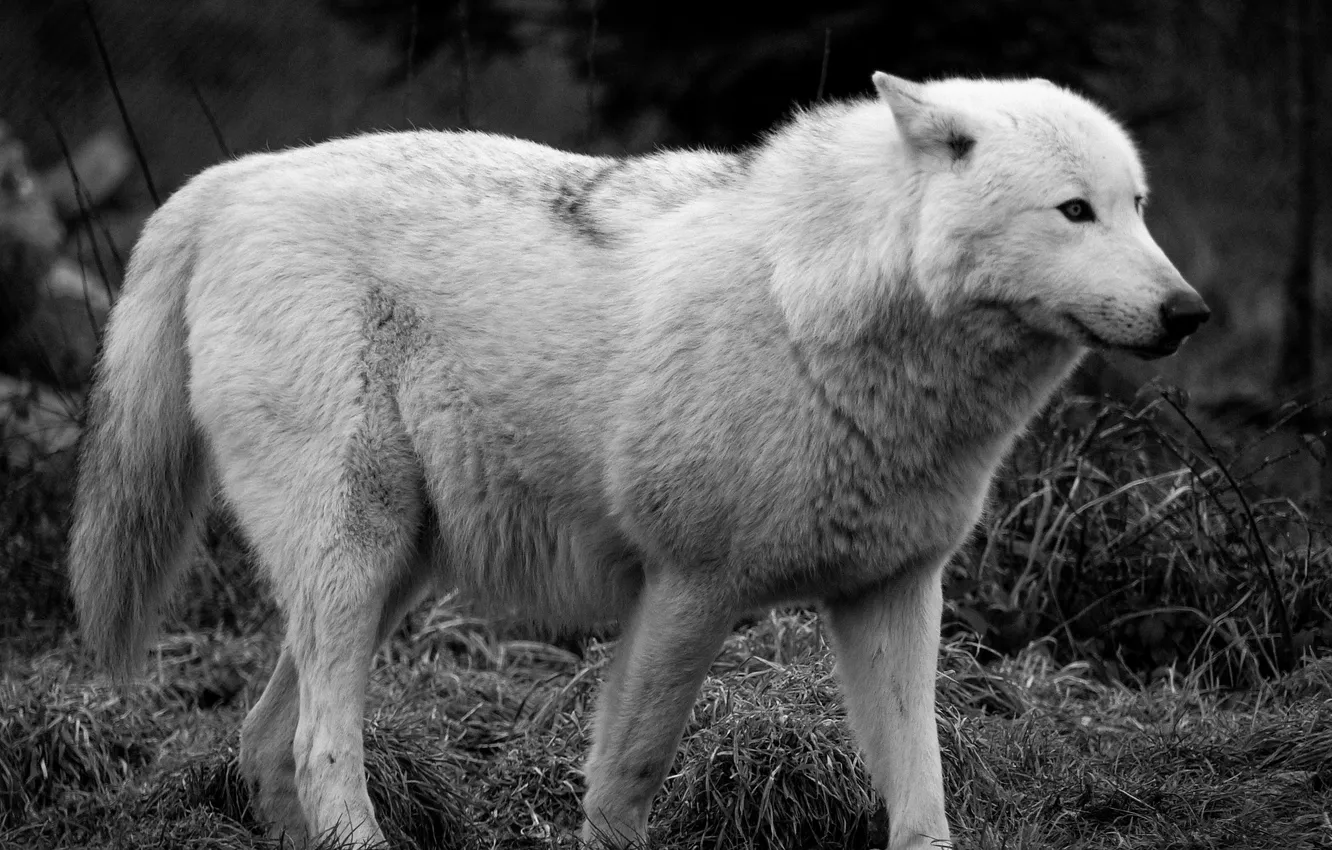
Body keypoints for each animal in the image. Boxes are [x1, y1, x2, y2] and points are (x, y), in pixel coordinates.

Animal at [68, 72, 1208, 849]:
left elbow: (922, 801)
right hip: (361, 552)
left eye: (1139, 206)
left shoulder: (894, 592)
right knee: (315, 748)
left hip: (392, 573)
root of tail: (230, 179)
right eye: (1073, 210)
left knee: (265, 740)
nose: (1188, 312)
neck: (819, 317)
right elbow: (629, 779)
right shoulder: (688, 589)